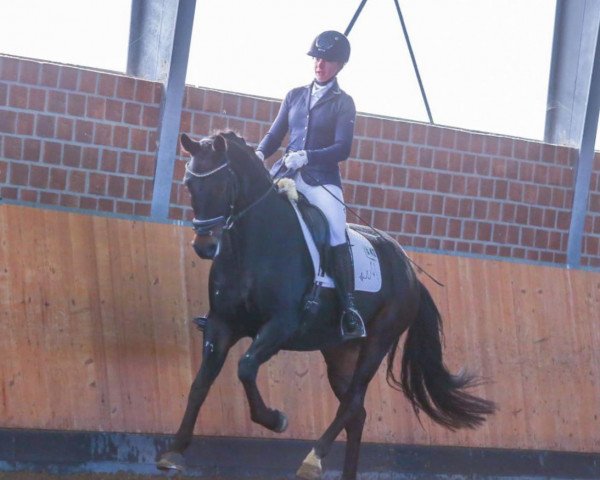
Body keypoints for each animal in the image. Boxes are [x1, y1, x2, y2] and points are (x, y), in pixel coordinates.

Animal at [156, 131, 496, 480]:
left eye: (223, 184)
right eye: (189, 184)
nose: (205, 246)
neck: (253, 244)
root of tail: (409, 271)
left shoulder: (281, 326)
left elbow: (246, 367)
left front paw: (275, 419)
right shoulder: (221, 323)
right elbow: (200, 383)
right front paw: (174, 451)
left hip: (378, 341)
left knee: (353, 402)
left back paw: (313, 458)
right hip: (340, 352)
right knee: (357, 412)